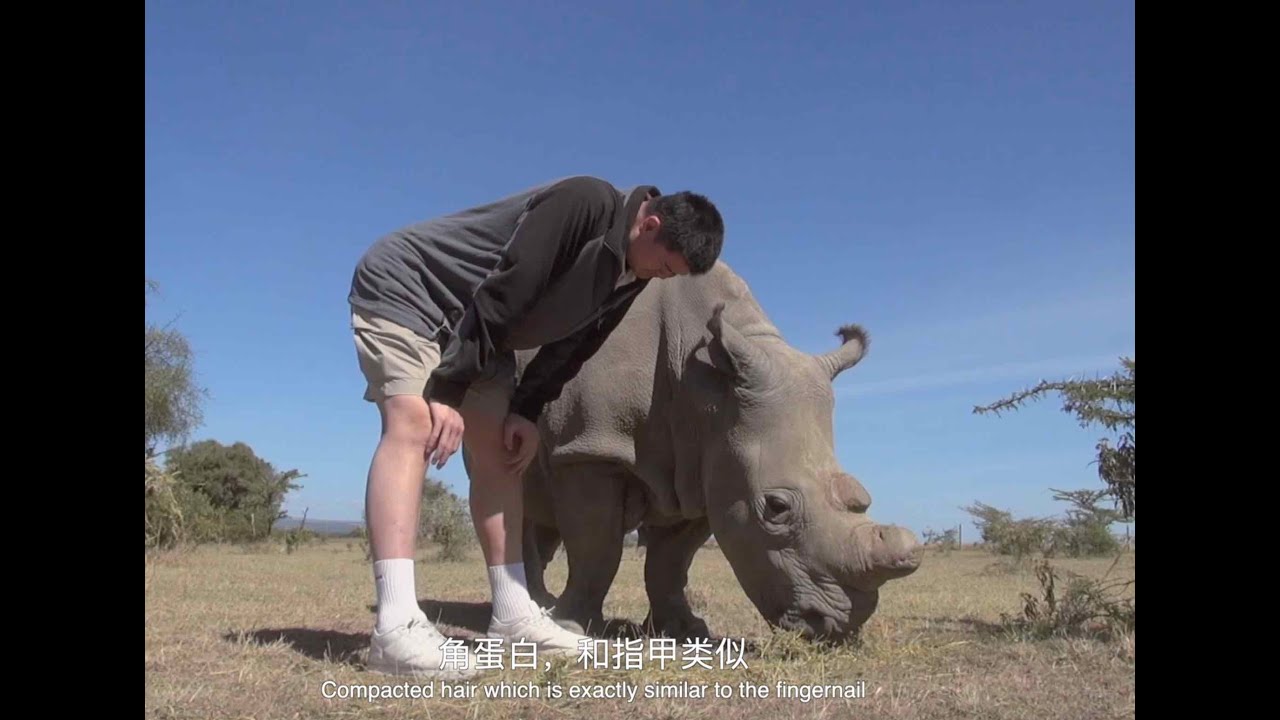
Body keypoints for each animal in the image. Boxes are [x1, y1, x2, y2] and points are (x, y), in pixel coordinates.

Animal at [510, 261, 922, 642]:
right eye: (776, 507)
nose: (836, 627)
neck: (705, 384)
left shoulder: (703, 466)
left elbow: (670, 560)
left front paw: (684, 631)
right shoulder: (590, 447)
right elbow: (597, 547)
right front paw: (572, 627)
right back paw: (538, 610)